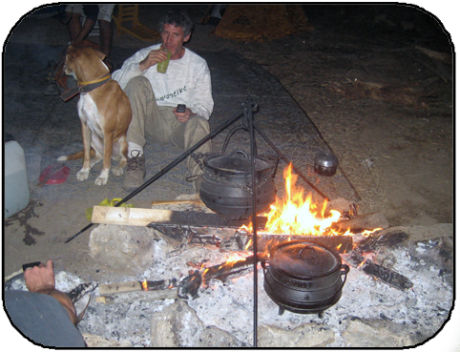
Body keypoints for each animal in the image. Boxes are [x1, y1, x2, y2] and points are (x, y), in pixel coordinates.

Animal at [58, 45, 131, 186]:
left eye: (66, 58)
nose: (63, 67)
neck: (92, 88)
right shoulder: (85, 126)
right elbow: (86, 154)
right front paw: (84, 170)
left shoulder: (108, 132)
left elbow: (106, 161)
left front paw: (103, 177)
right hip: (92, 138)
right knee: (99, 155)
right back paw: (92, 164)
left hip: (123, 142)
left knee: (121, 159)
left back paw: (118, 168)